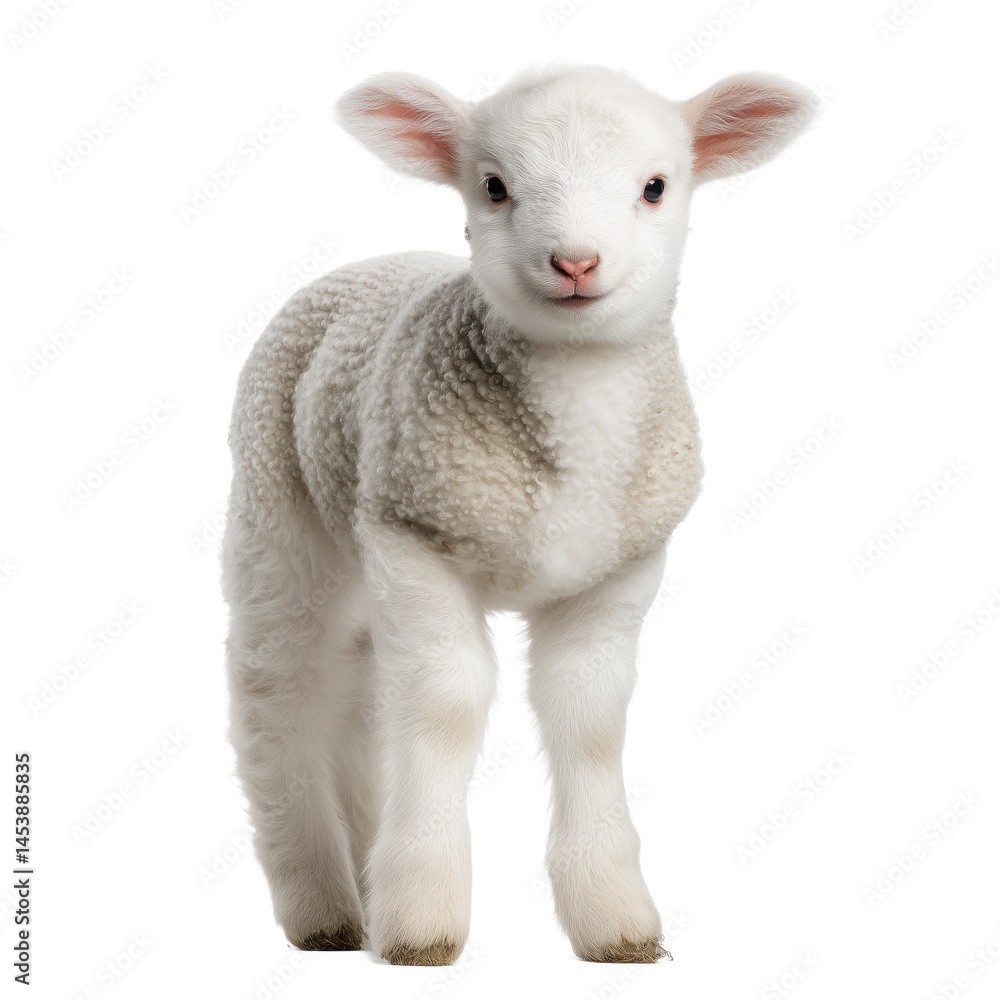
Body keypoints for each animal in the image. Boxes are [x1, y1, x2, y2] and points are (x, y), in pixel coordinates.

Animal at [222, 64, 816, 966]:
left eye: (655, 186)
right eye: (494, 186)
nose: (575, 261)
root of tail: (368, 262)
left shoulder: (618, 570)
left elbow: (589, 720)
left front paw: (615, 921)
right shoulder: (417, 535)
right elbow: (444, 706)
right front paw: (422, 922)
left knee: (359, 693)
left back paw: (363, 871)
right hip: (281, 509)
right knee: (280, 687)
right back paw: (321, 903)